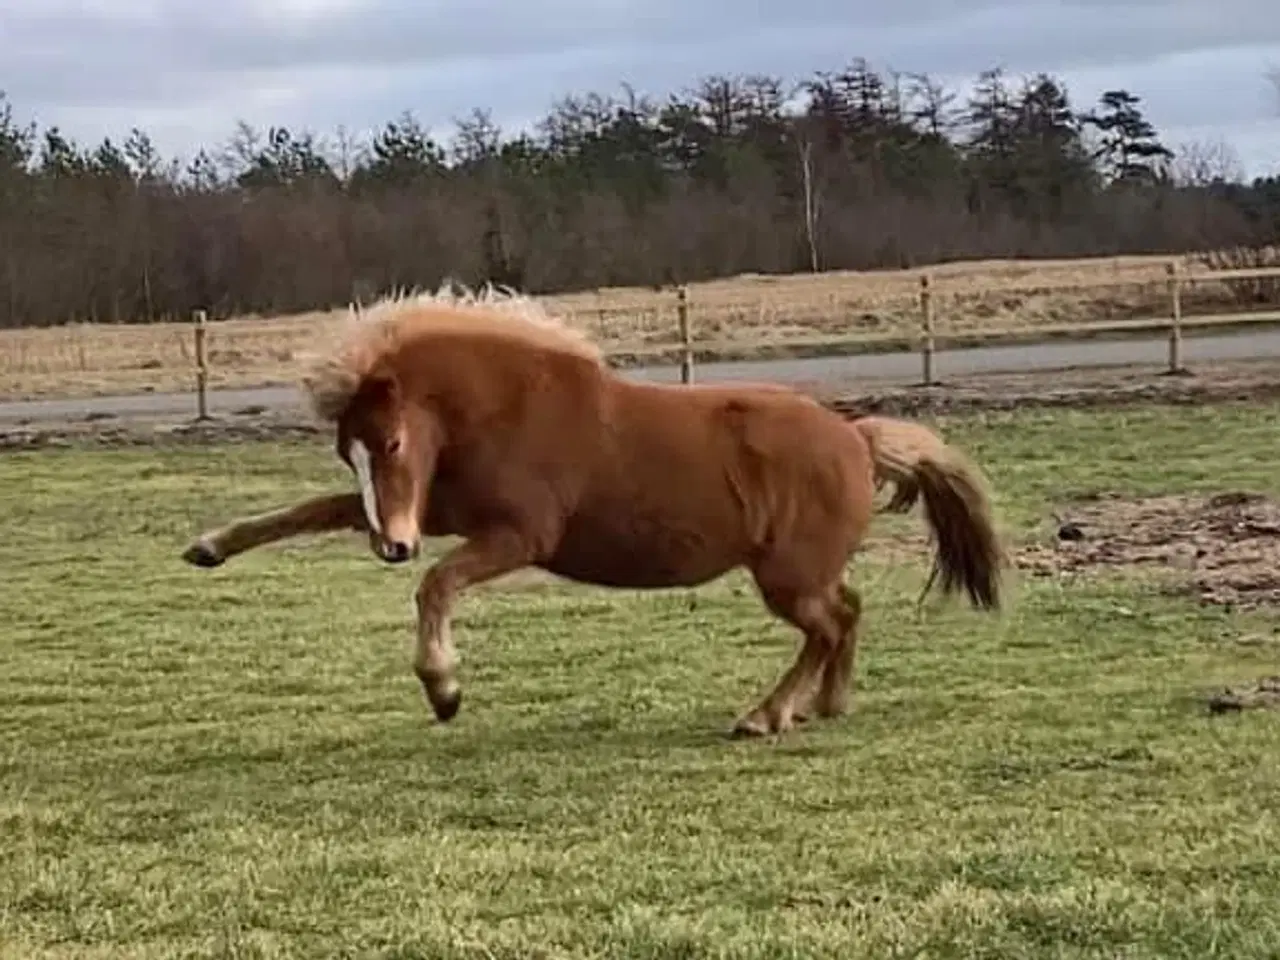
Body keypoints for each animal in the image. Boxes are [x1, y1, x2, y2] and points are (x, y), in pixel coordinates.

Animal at [180, 285, 1003, 737]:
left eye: (390, 441)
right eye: (345, 450)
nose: (393, 548)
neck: (509, 408)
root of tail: (858, 439)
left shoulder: (516, 535)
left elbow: (436, 585)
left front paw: (445, 690)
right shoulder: (441, 511)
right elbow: (312, 511)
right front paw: (209, 546)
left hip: (787, 580)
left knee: (828, 625)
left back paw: (766, 715)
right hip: (803, 573)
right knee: (849, 612)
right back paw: (827, 704)